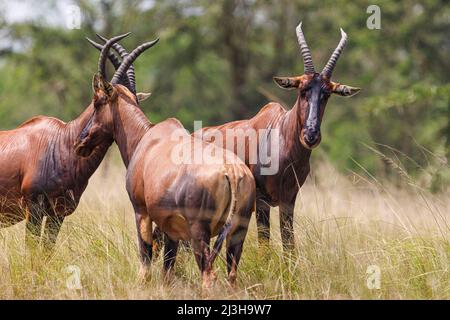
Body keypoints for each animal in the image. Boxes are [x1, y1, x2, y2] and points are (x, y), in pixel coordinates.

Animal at [74, 37, 256, 288]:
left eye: (97, 102)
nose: (80, 143)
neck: (148, 138)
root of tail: (233, 172)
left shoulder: (141, 211)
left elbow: (146, 258)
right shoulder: (170, 227)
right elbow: (168, 268)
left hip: (200, 232)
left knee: (208, 274)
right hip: (238, 231)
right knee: (231, 274)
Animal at [199, 22, 360, 251]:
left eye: (327, 94)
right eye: (302, 90)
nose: (311, 135)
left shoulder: (288, 200)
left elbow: (289, 243)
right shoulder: (262, 201)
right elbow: (264, 246)